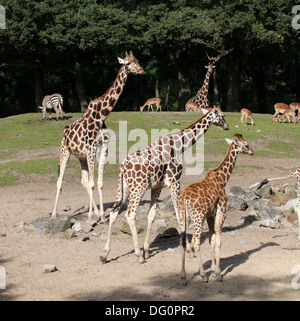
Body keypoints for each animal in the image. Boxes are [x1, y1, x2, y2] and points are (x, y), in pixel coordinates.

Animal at [51, 51, 145, 224]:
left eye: (137, 60)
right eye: (128, 63)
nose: (142, 71)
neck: (102, 115)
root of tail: (65, 131)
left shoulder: (103, 149)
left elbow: (99, 183)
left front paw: (101, 216)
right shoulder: (91, 148)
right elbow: (93, 183)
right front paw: (90, 217)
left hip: (81, 157)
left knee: (83, 181)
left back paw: (95, 211)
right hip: (65, 151)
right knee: (60, 180)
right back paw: (54, 214)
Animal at [100, 109, 230, 264]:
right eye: (222, 116)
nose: (227, 126)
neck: (179, 147)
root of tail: (122, 168)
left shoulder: (157, 186)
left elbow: (151, 215)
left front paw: (147, 250)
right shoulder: (174, 182)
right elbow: (179, 215)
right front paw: (188, 250)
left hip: (123, 188)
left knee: (113, 212)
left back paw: (105, 254)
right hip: (138, 187)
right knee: (130, 214)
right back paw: (138, 255)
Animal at [177, 134, 254, 284]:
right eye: (246, 145)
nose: (252, 152)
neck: (223, 178)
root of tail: (183, 199)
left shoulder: (210, 215)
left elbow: (211, 240)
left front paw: (212, 269)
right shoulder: (222, 209)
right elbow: (218, 240)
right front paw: (217, 273)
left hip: (184, 217)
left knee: (182, 241)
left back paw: (183, 277)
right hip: (197, 217)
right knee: (196, 242)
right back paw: (203, 275)